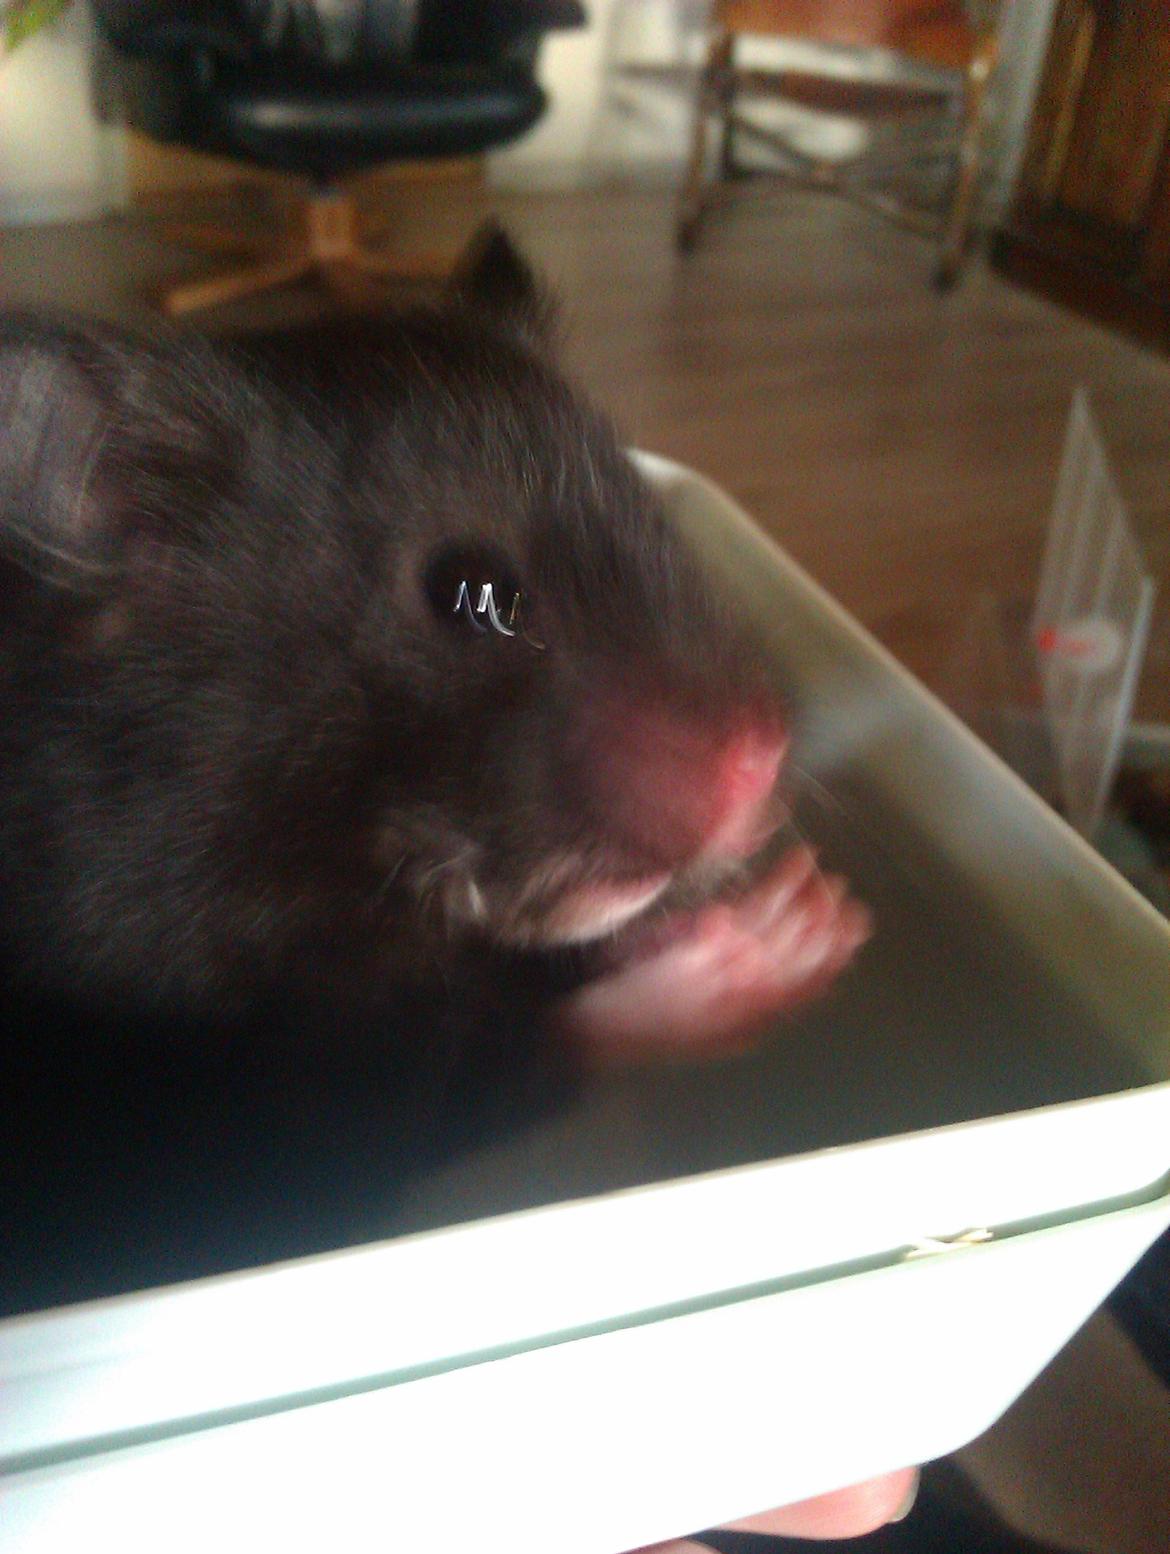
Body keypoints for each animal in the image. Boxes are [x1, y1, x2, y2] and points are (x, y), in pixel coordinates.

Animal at [0, 227, 867, 1310]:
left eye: (658, 522)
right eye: (470, 591)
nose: (758, 770)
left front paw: (811, 909)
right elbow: (514, 1059)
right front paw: (790, 933)